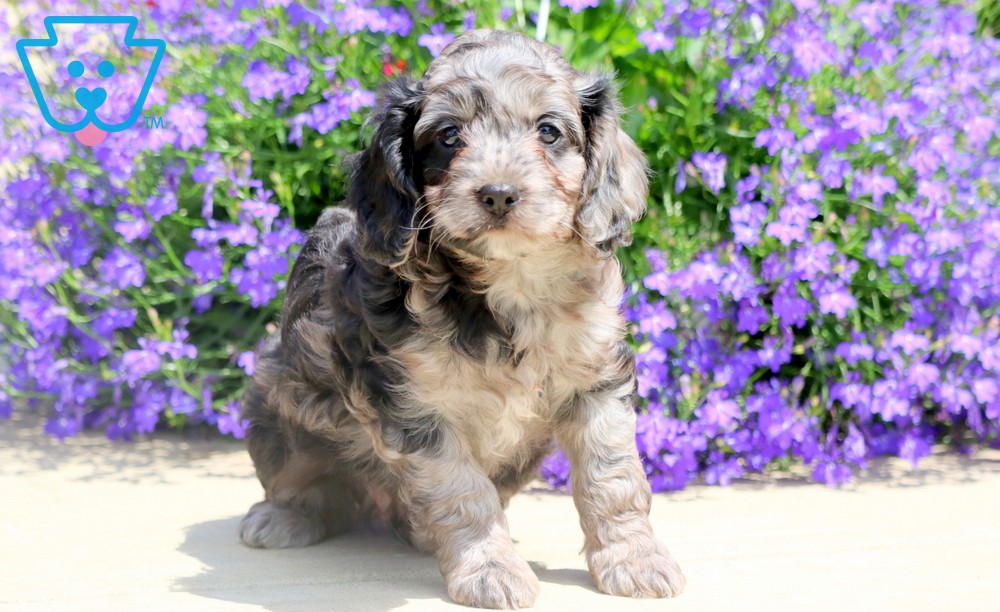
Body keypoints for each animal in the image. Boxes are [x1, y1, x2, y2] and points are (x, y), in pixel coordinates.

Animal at [238, 27, 684, 608]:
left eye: (548, 131)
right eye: (450, 135)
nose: (497, 194)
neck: (511, 285)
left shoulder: (597, 380)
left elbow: (612, 475)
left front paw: (634, 559)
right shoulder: (417, 407)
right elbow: (462, 492)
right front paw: (491, 570)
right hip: (281, 407)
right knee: (299, 480)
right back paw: (281, 517)